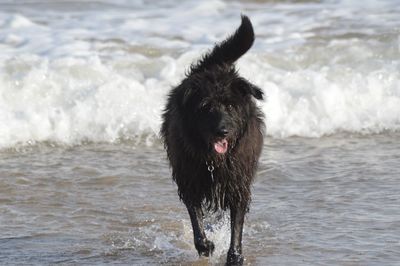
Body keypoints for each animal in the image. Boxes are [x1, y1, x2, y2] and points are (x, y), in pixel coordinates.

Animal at [161, 15, 264, 264]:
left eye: (231, 106)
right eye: (206, 107)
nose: (222, 131)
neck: (214, 159)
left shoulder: (238, 183)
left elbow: (236, 222)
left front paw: (235, 255)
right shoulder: (189, 179)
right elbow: (195, 216)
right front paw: (205, 245)